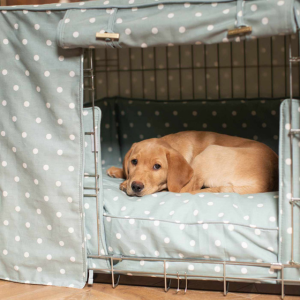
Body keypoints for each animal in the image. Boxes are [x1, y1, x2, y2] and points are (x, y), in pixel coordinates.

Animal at [106, 131, 278, 197]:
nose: (135, 186)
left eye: (157, 166)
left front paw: (124, 182)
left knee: (184, 190)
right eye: (134, 161)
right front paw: (118, 170)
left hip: (209, 152)